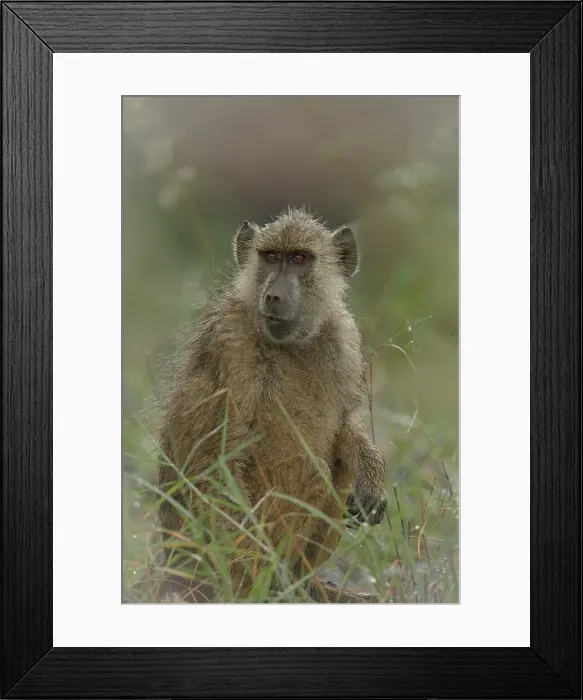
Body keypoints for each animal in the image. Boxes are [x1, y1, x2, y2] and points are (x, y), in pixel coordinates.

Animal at [154, 208, 387, 603]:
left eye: (299, 259)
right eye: (271, 257)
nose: (274, 296)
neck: (291, 345)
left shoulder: (341, 337)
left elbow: (345, 425)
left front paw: (372, 478)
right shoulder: (231, 346)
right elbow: (218, 466)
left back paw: (307, 584)